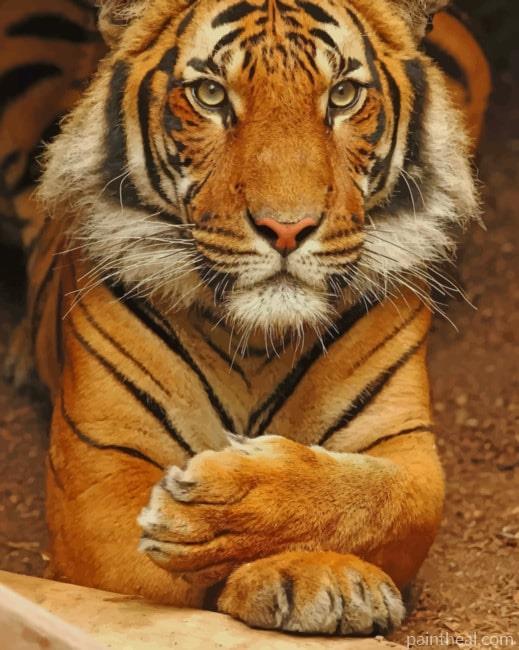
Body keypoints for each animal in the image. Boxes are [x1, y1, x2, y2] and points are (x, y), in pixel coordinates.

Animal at [0, 0, 491, 637]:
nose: (286, 228)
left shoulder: (407, 451)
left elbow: (383, 501)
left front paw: (307, 562)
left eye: (342, 96)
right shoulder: (99, 475)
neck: (256, 340)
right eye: (210, 95)